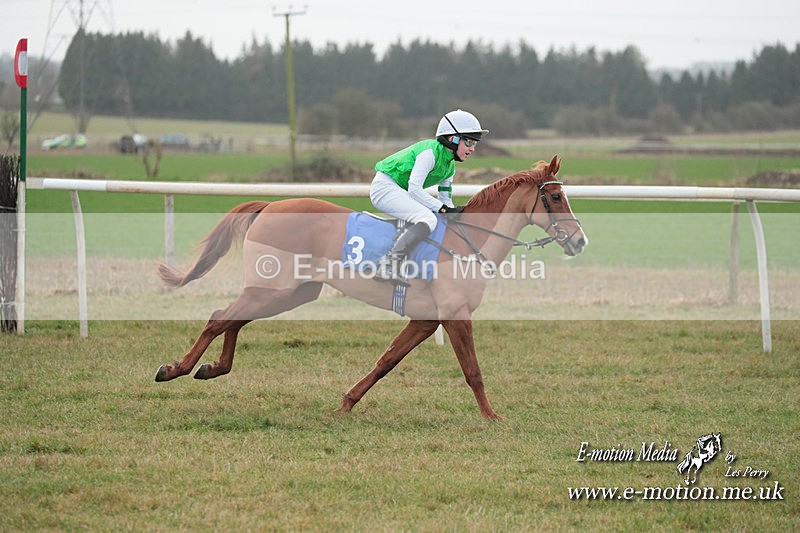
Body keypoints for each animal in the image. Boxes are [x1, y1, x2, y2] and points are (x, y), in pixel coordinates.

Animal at [154, 155, 587, 420]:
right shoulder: (455, 315)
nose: (579, 240)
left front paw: (345, 404)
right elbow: (473, 371)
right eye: (554, 195)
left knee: (235, 319)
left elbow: (387, 361)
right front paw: (493, 416)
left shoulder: (426, 320)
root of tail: (270, 205)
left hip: (292, 291)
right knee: (220, 317)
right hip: (274, 288)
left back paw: (213, 368)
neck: (468, 242)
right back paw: (176, 368)